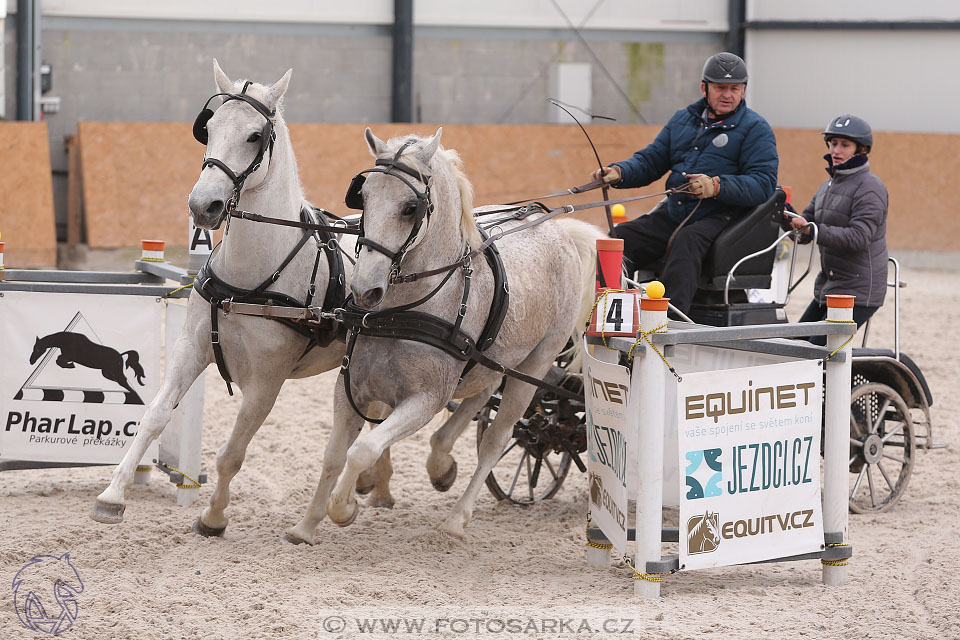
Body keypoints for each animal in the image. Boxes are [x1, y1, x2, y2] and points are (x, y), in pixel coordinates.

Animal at [87, 60, 394, 532]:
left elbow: (231, 454)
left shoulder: (265, 383)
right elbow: (154, 416)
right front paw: (112, 495)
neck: (250, 278)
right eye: (209, 128)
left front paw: (213, 517)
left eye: (254, 136)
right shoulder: (190, 350)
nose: (203, 206)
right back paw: (375, 485)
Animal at [284, 129, 604, 540]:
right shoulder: (350, 388)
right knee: (480, 395)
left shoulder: (426, 400)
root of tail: (557, 229)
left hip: (534, 366)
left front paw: (343, 509)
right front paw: (306, 526)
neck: (400, 313)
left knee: (496, 440)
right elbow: (333, 455)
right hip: (494, 359)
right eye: (364, 196)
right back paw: (441, 463)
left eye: (410, 208)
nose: (364, 289)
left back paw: (456, 519)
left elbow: (363, 450)